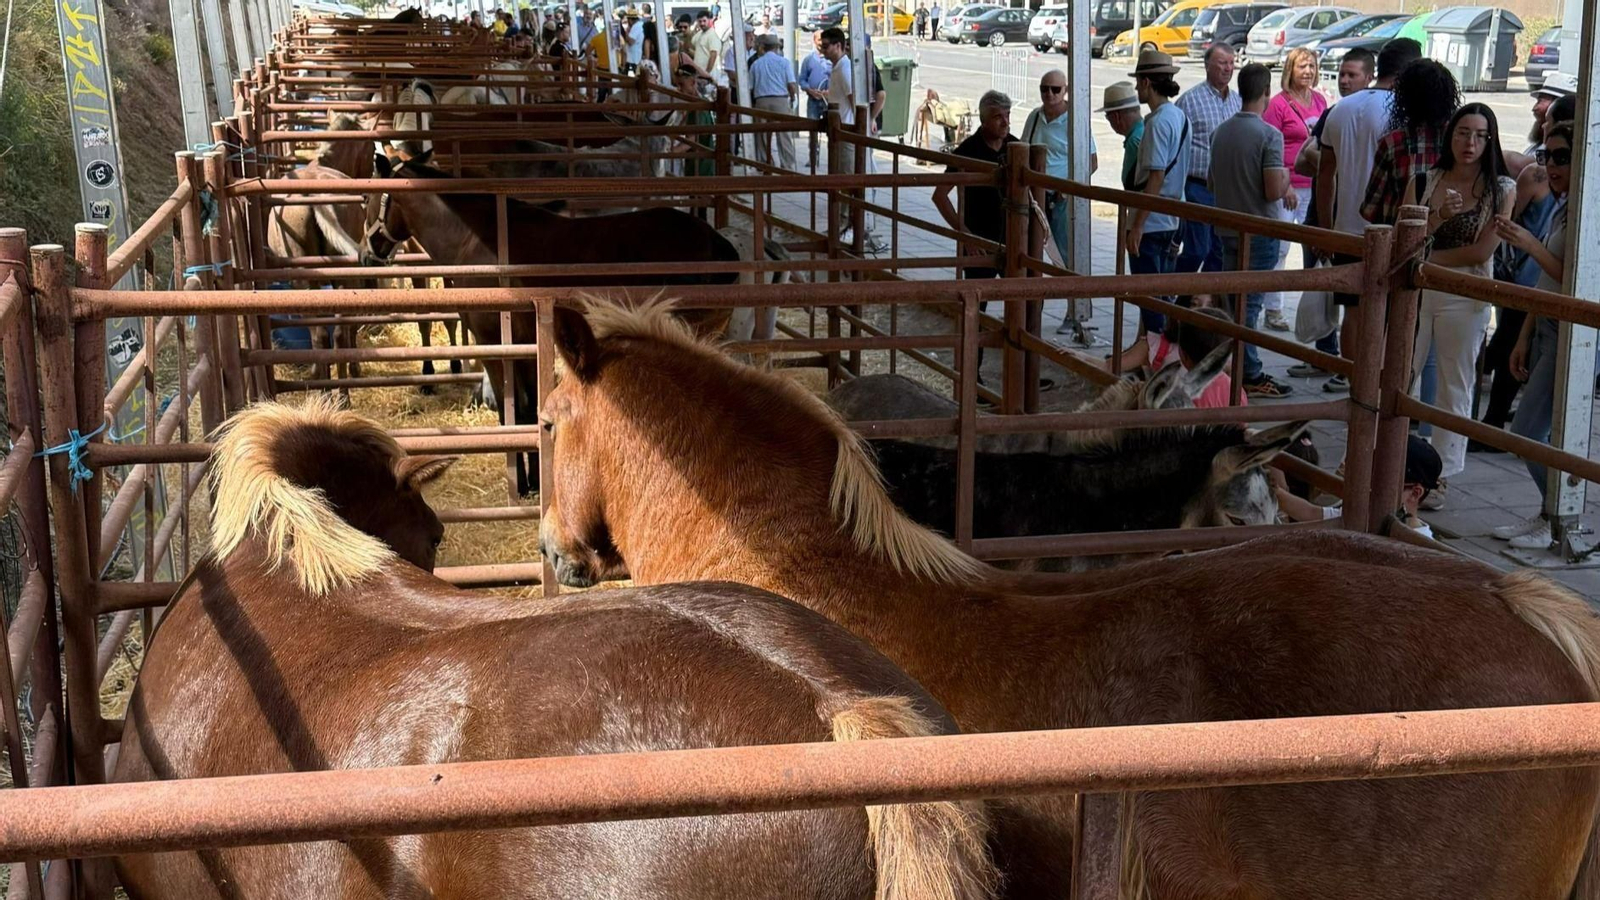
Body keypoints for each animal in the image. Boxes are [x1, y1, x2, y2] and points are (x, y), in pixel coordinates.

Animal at [358, 154, 743, 494]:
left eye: (366, 198)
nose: (366, 255)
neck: (472, 242)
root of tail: (718, 244)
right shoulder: (526, 345)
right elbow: (529, 409)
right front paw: (534, 480)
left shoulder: (494, 344)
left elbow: (511, 413)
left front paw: (522, 483)